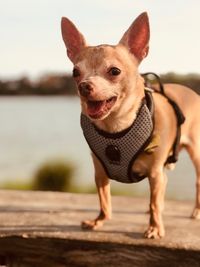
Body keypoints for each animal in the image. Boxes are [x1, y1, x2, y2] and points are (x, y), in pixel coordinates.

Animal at [60, 12, 200, 239]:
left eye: (114, 71)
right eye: (75, 72)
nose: (84, 86)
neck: (115, 126)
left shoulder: (154, 172)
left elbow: (153, 203)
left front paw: (154, 228)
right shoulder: (100, 173)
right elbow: (105, 200)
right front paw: (99, 221)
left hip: (196, 153)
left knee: (195, 182)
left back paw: (195, 210)